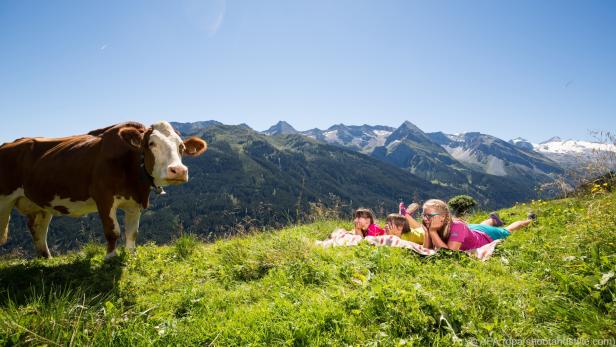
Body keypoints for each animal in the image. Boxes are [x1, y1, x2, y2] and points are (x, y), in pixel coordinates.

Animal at [0, 121, 207, 260]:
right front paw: (110, 257)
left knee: (38, 229)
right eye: (151, 143)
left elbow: (132, 232)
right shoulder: (104, 198)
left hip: (41, 203)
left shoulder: (134, 203)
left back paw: (46, 259)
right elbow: (113, 231)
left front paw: (131, 255)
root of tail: (9, 143)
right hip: (4, 201)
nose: (178, 170)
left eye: (181, 146)